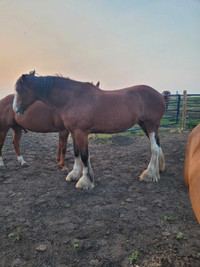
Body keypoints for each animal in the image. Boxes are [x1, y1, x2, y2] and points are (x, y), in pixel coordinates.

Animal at [12, 73, 166, 189]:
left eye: (20, 90)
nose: (15, 110)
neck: (72, 98)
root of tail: (160, 95)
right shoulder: (74, 132)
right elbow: (76, 153)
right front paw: (75, 174)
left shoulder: (81, 132)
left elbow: (85, 155)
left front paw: (85, 181)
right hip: (144, 125)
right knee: (158, 145)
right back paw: (159, 169)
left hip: (151, 125)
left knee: (154, 148)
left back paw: (149, 174)